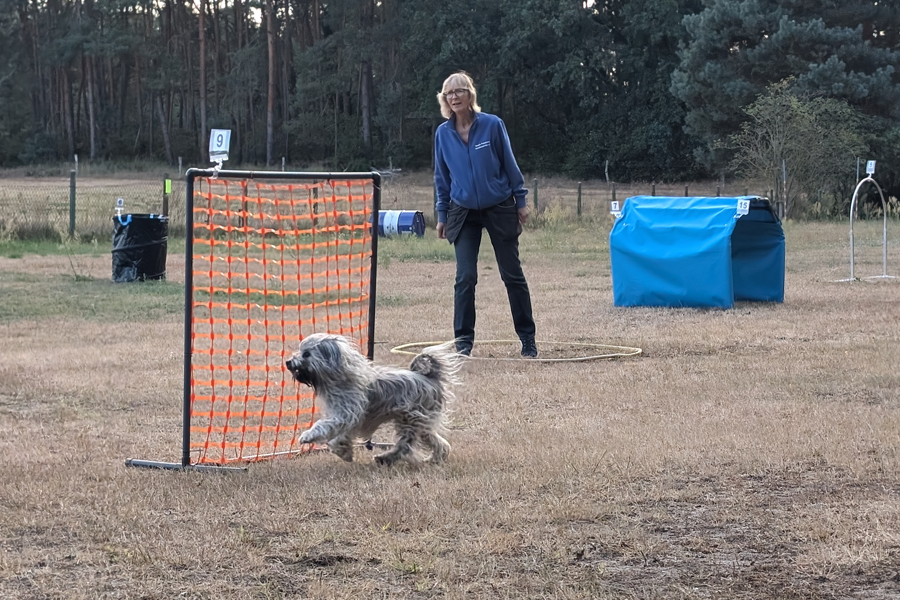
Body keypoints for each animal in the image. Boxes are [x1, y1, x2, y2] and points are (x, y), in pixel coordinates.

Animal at [285, 333, 462, 466]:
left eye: (306, 354)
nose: (288, 362)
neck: (339, 376)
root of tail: (431, 378)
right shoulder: (348, 418)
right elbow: (340, 436)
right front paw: (345, 451)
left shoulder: (345, 414)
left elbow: (324, 426)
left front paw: (308, 436)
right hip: (422, 422)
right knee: (438, 441)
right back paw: (435, 458)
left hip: (411, 419)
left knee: (406, 445)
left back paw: (385, 458)